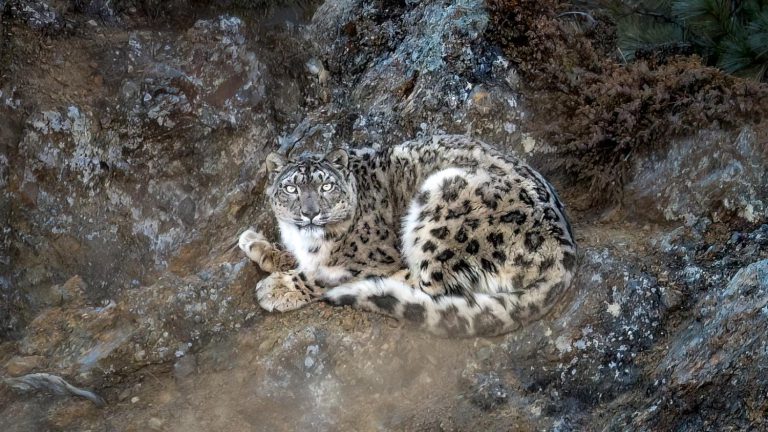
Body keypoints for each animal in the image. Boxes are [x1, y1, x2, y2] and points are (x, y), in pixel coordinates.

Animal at [238, 135, 577, 337]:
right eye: (290, 188)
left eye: (326, 186)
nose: (309, 212)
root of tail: (563, 248)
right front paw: (255, 244)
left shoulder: (369, 256)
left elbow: (320, 273)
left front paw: (277, 288)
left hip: (443, 208)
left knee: (431, 286)